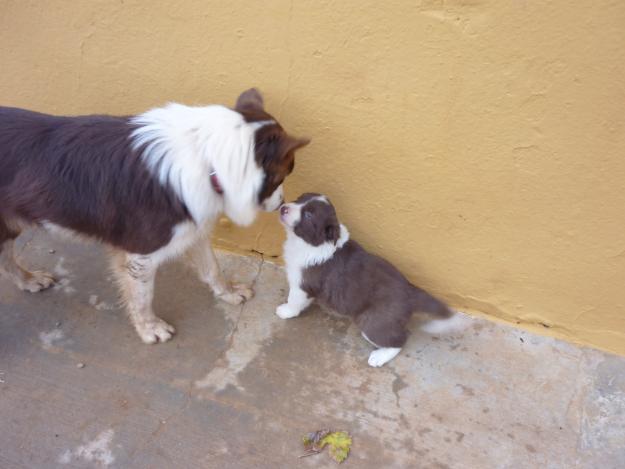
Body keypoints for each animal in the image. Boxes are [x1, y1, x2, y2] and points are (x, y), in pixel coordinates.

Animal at [1, 88, 308, 344]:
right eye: (284, 174)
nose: (282, 204)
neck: (207, 158)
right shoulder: (140, 255)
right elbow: (142, 298)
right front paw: (150, 328)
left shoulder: (193, 230)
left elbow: (213, 268)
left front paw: (228, 293)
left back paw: (28, 280)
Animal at [278, 193, 454, 366]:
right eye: (298, 199)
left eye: (308, 215)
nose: (283, 208)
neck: (312, 243)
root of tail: (411, 292)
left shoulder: (302, 285)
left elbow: (294, 300)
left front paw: (285, 311)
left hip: (372, 322)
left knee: (400, 339)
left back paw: (379, 357)